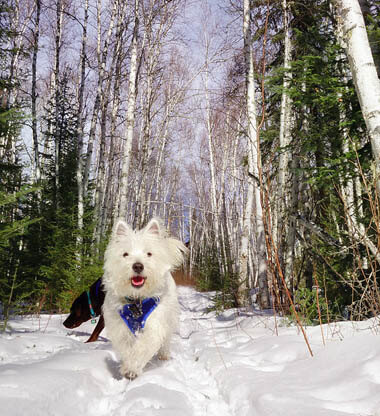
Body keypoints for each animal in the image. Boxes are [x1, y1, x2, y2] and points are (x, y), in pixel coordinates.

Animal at [102, 219, 186, 378]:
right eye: (125, 254)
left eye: (149, 253)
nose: (138, 266)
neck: (137, 299)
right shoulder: (120, 327)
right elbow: (126, 348)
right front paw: (127, 367)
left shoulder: (155, 324)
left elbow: (143, 347)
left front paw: (132, 369)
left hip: (170, 316)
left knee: (166, 339)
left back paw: (163, 355)